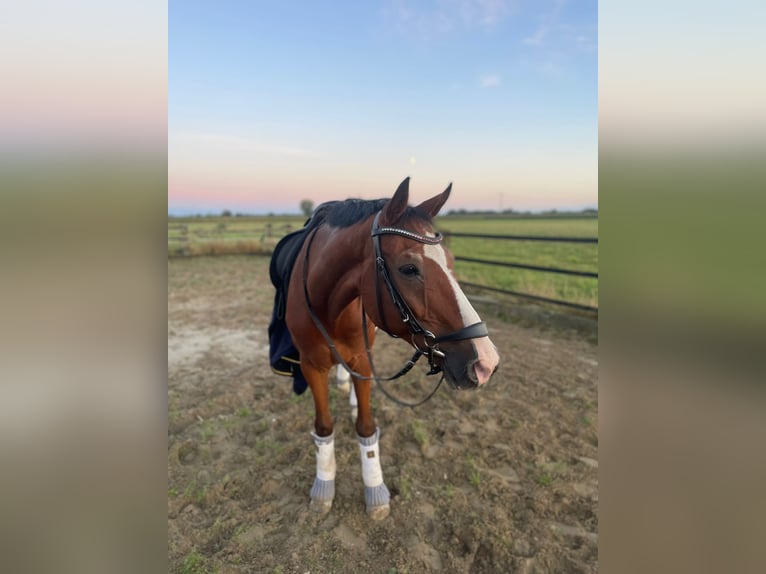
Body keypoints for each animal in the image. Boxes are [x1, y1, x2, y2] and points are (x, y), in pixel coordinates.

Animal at [272, 179, 500, 520]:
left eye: (451, 261)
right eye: (409, 268)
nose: (486, 362)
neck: (328, 304)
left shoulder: (363, 359)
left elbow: (366, 426)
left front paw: (374, 490)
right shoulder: (311, 365)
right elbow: (323, 427)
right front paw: (323, 487)